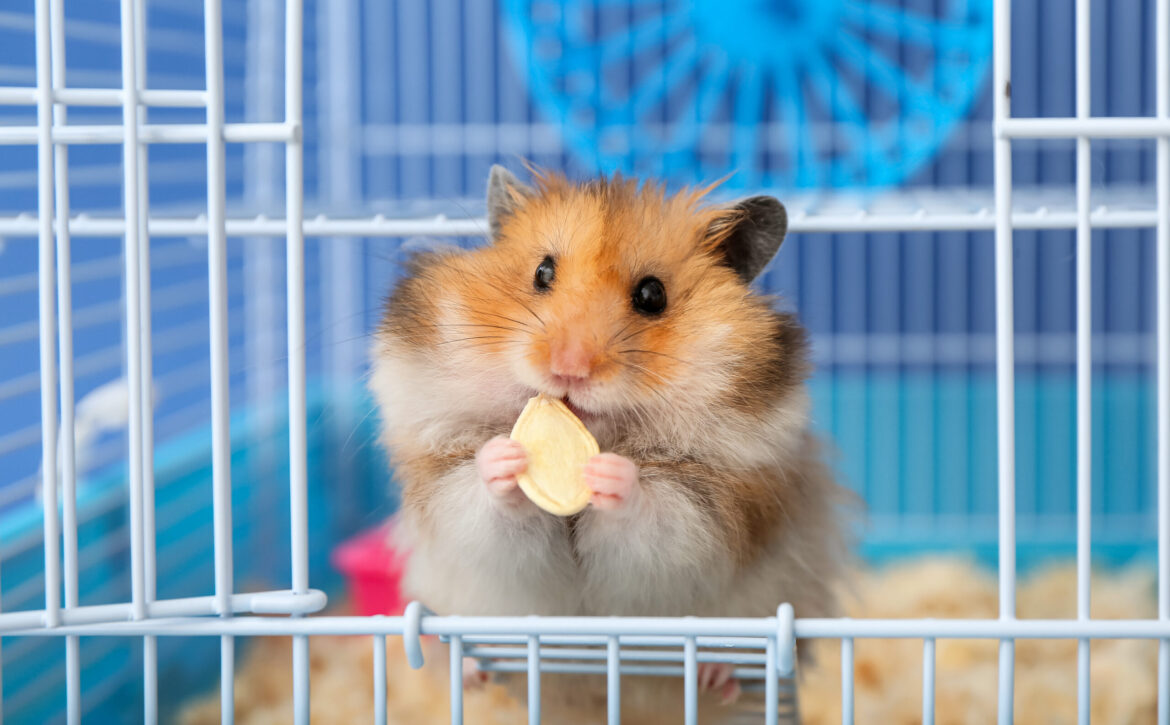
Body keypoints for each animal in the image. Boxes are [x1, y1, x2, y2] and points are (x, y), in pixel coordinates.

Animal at [369, 165, 849, 723]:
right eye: (542, 273)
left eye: (652, 295)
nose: (568, 369)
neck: (602, 434)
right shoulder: (448, 494)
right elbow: (481, 504)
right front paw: (505, 459)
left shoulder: (712, 513)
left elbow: (656, 515)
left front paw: (612, 475)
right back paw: (471, 668)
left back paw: (718, 672)